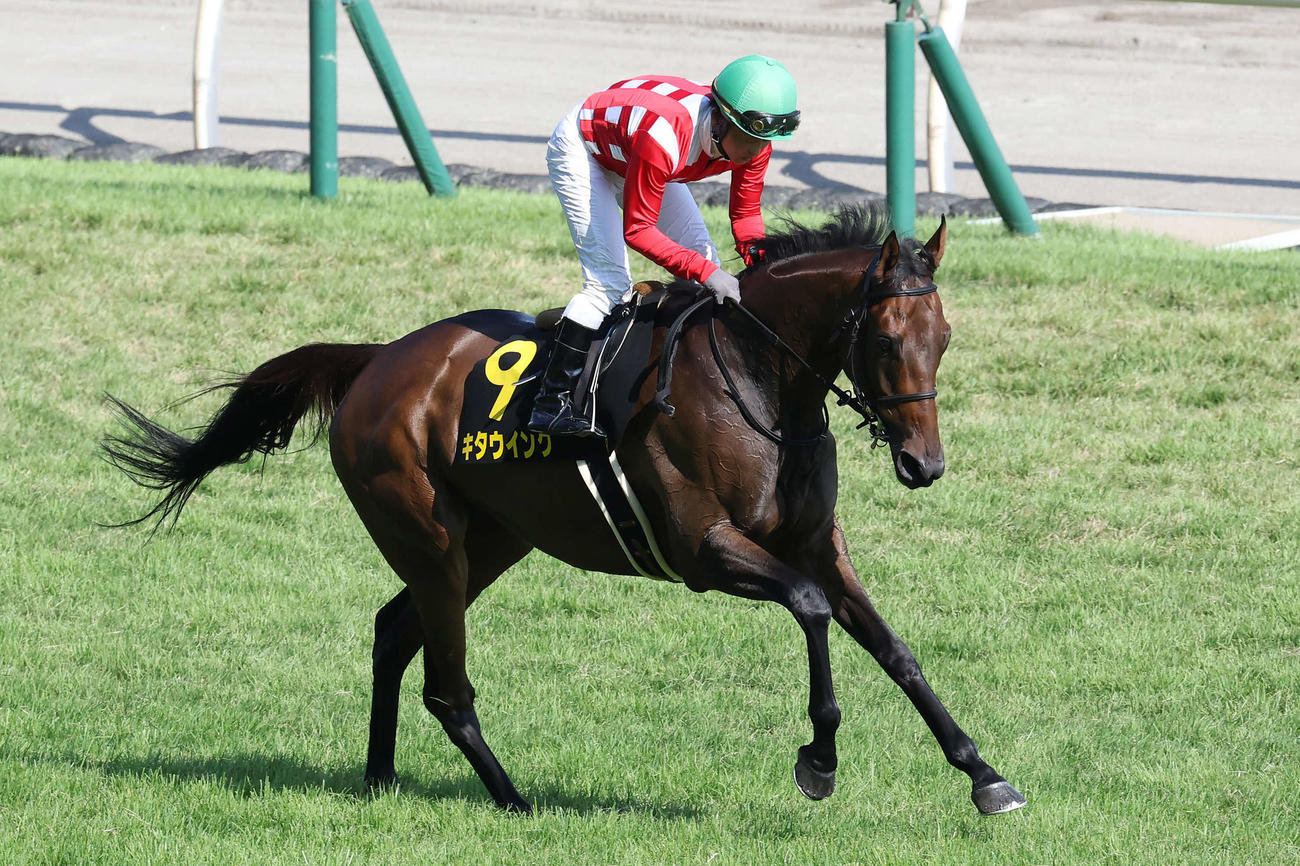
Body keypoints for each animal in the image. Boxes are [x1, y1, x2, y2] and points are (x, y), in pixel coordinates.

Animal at [102, 203, 1025, 816]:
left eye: (943, 339)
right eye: (885, 341)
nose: (924, 464)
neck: (761, 382)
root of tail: (375, 360)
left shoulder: (817, 544)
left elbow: (895, 649)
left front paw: (984, 775)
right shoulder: (704, 550)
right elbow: (809, 611)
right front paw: (819, 760)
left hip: (492, 542)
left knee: (394, 631)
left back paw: (379, 777)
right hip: (428, 536)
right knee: (445, 683)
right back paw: (511, 799)